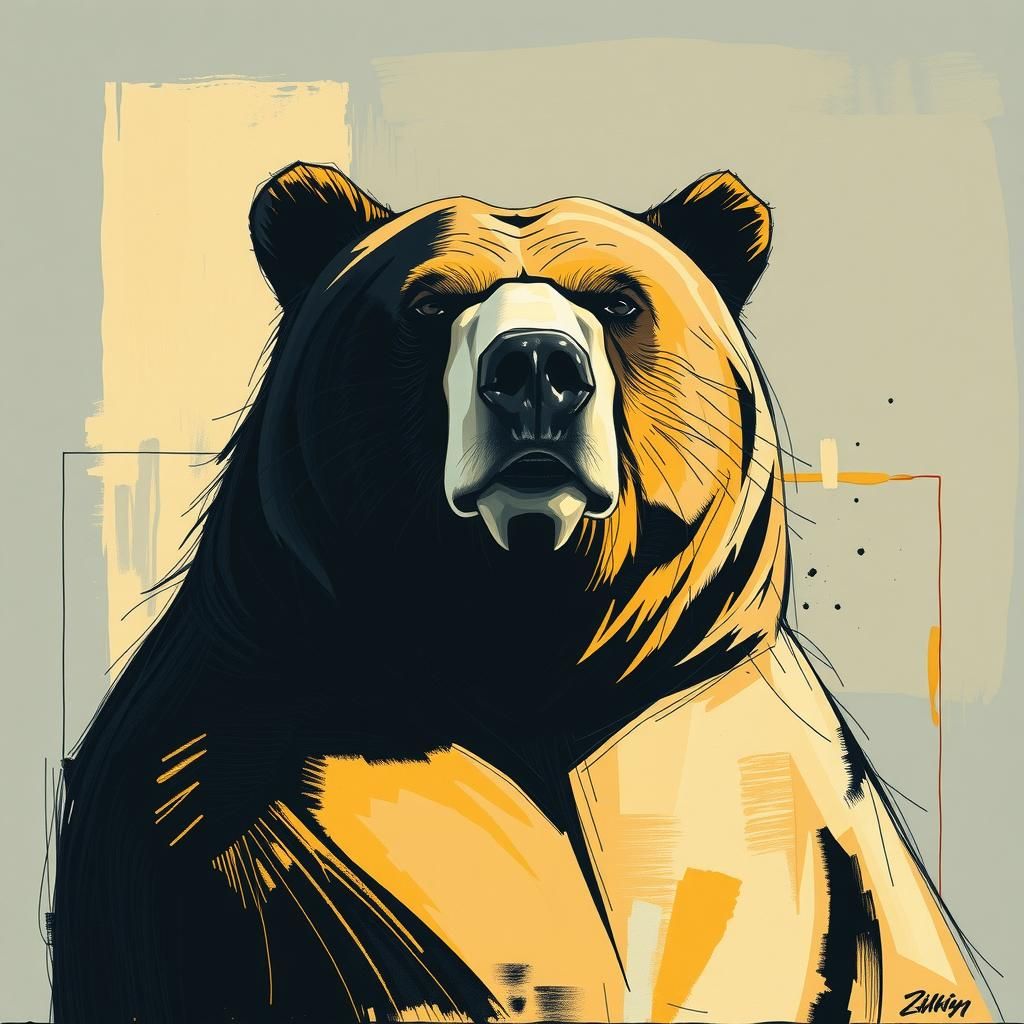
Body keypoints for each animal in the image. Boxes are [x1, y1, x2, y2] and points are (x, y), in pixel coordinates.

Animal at [52, 162, 994, 1023]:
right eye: (430, 305)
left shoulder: (783, 790)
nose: (536, 365)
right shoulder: (235, 794)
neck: (528, 649)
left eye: (617, 301)